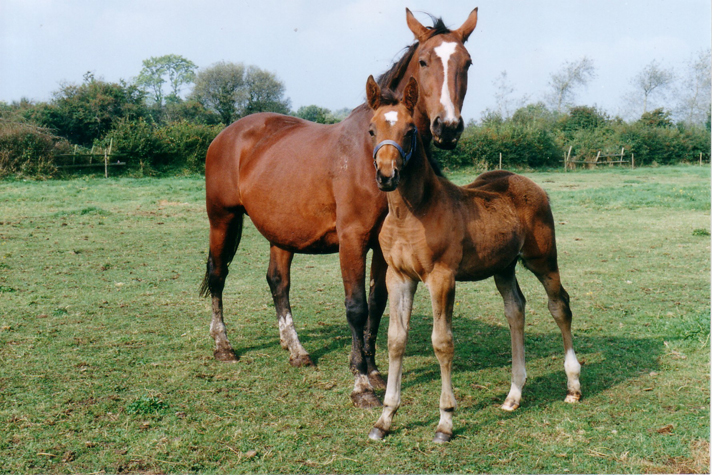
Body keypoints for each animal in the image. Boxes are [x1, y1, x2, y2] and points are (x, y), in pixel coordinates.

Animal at [201, 8, 479, 408]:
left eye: (467, 62)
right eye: (425, 60)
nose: (448, 127)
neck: (369, 151)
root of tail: (228, 134)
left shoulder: (382, 246)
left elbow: (377, 303)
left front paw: (373, 369)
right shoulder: (352, 240)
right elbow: (356, 306)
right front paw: (361, 384)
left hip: (282, 231)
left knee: (278, 282)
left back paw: (296, 350)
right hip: (222, 217)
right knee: (218, 273)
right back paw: (223, 345)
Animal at [363, 76, 582, 442]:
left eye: (410, 130)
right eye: (371, 129)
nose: (387, 175)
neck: (412, 213)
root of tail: (531, 185)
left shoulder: (441, 278)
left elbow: (442, 342)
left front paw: (445, 421)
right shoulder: (399, 277)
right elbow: (396, 340)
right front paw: (385, 418)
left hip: (543, 259)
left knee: (559, 306)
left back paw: (573, 384)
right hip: (504, 267)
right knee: (515, 309)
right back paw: (513, 394)